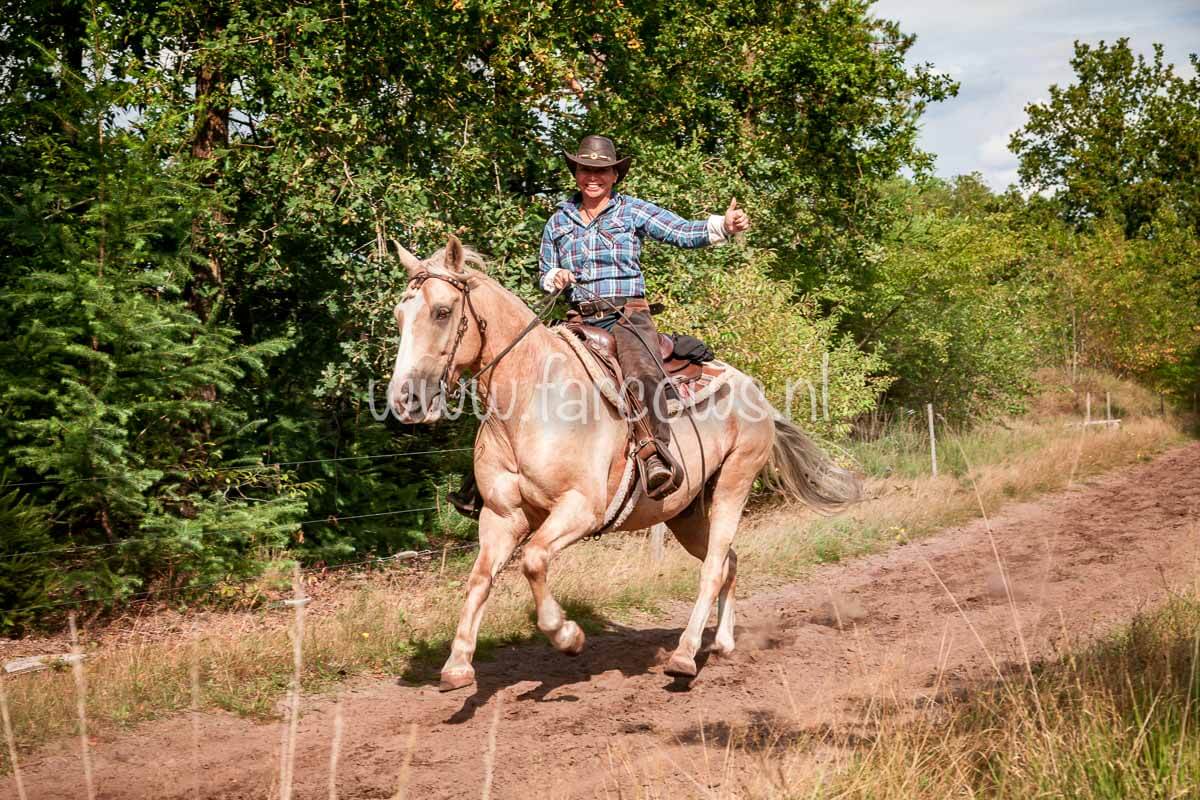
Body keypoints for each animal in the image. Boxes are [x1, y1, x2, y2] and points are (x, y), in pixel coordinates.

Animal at [386, 235, 860, 691]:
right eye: (398, 316)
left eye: (443, 312)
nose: (405, 400)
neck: (530, 399)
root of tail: (754, 390)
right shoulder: (502, 516)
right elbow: (480, 577)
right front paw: (458, 665)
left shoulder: (581, 509)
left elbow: (534, 560)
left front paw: (567, 635)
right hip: (686, 513)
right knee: (728, 561)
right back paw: (723, 642)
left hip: (734, 484)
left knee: (712, 569)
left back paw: (684, 656)